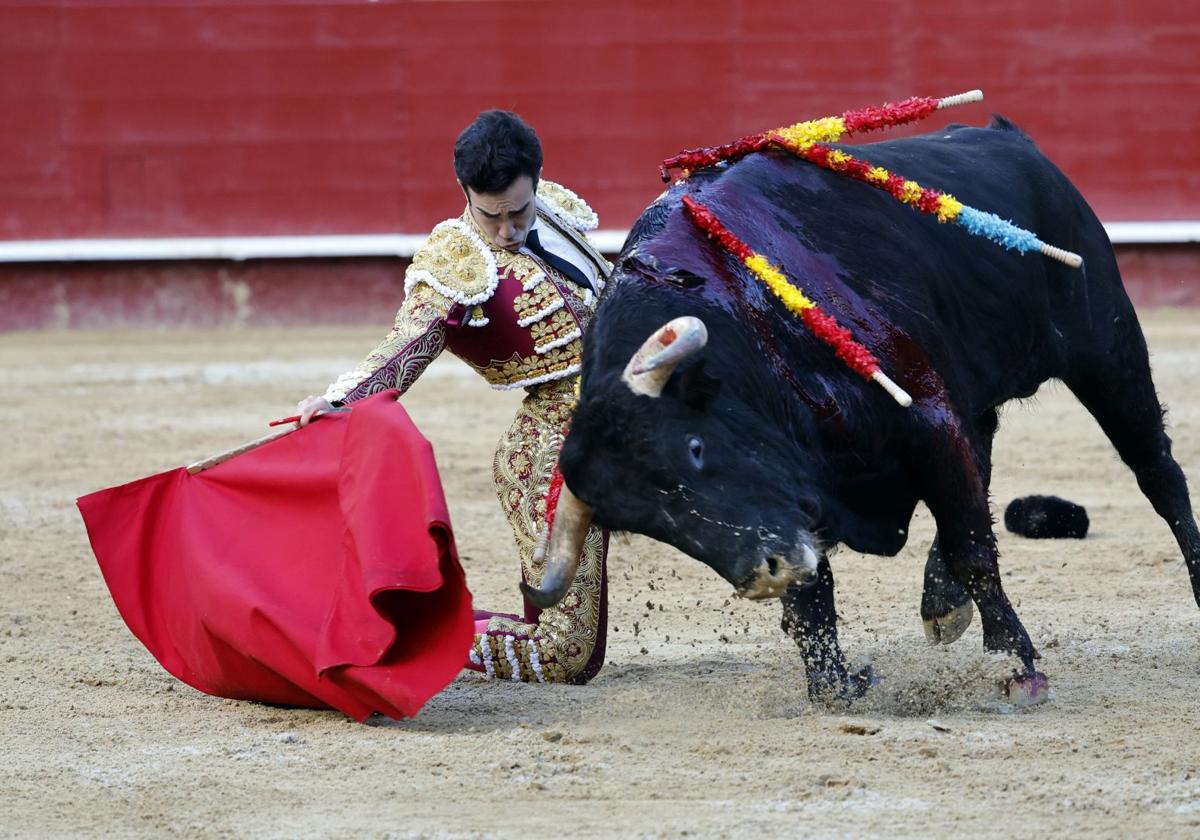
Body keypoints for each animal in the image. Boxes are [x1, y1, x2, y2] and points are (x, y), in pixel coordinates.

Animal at [523, 116, 1200, 700]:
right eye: (650, 526)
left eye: (693, 447)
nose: (764, 574)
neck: (749, 329)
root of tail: (1011, 138)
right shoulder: (811, 489)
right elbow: (814, 597)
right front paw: (839, 684)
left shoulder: (925, 416)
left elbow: (973, 550)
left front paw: (1018, 668)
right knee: (980, 464)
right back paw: (940, 604)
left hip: (1107, 348)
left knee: (1156, 471)